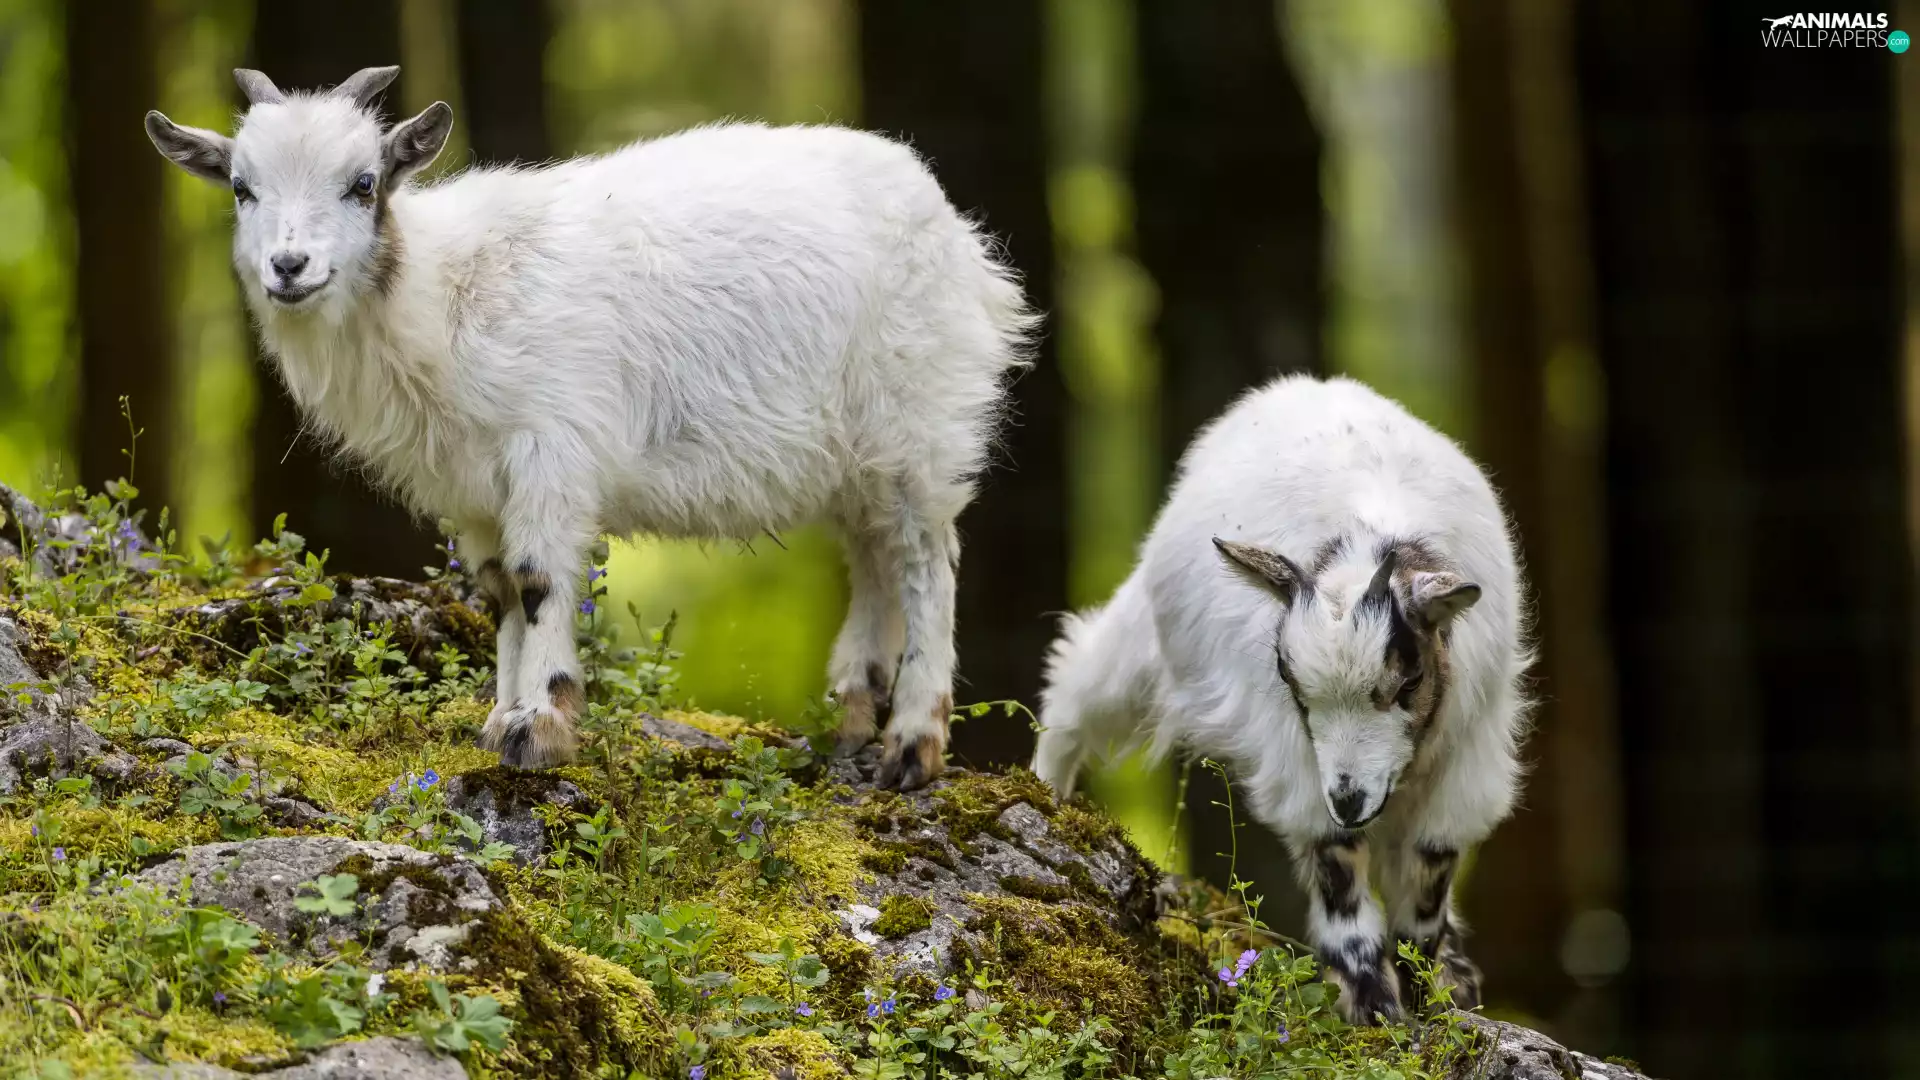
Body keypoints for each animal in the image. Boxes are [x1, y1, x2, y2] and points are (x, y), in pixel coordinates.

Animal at [145, 66, 1033, 789]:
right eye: (240, 188)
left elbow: (539, 580)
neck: (442, 291)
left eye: (363, 183)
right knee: (874, 557)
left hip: (920, 425)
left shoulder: (551, 447)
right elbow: (499, 590)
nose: (289, 268)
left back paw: (911, 747)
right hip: (855, 457)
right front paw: (500, 718)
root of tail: (955, 231)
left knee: (925, 562)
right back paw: (850, 718)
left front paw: (540, 727)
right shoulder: (475, 488)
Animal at [1031, 374, 1530, 1023]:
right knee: (1077, 684)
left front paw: (1431, 990)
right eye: (1292, 683)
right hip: (1146, 645)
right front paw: (1373, 1002)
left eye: (1408, 682)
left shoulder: (1467, 756)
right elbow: (1336, 864)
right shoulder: (1296, 755)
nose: (1350, 799)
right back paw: (1046, 792)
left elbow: (1428, 877)